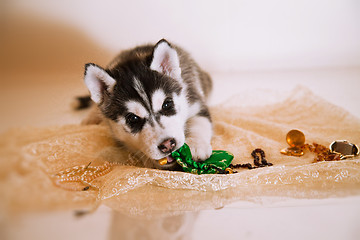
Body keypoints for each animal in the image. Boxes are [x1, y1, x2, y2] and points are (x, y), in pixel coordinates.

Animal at [83, 39, 212, 170]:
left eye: (167, 104)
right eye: (133, 118)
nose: (168, 145)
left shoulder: (194, 101)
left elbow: (199, 122)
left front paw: (196, 145)